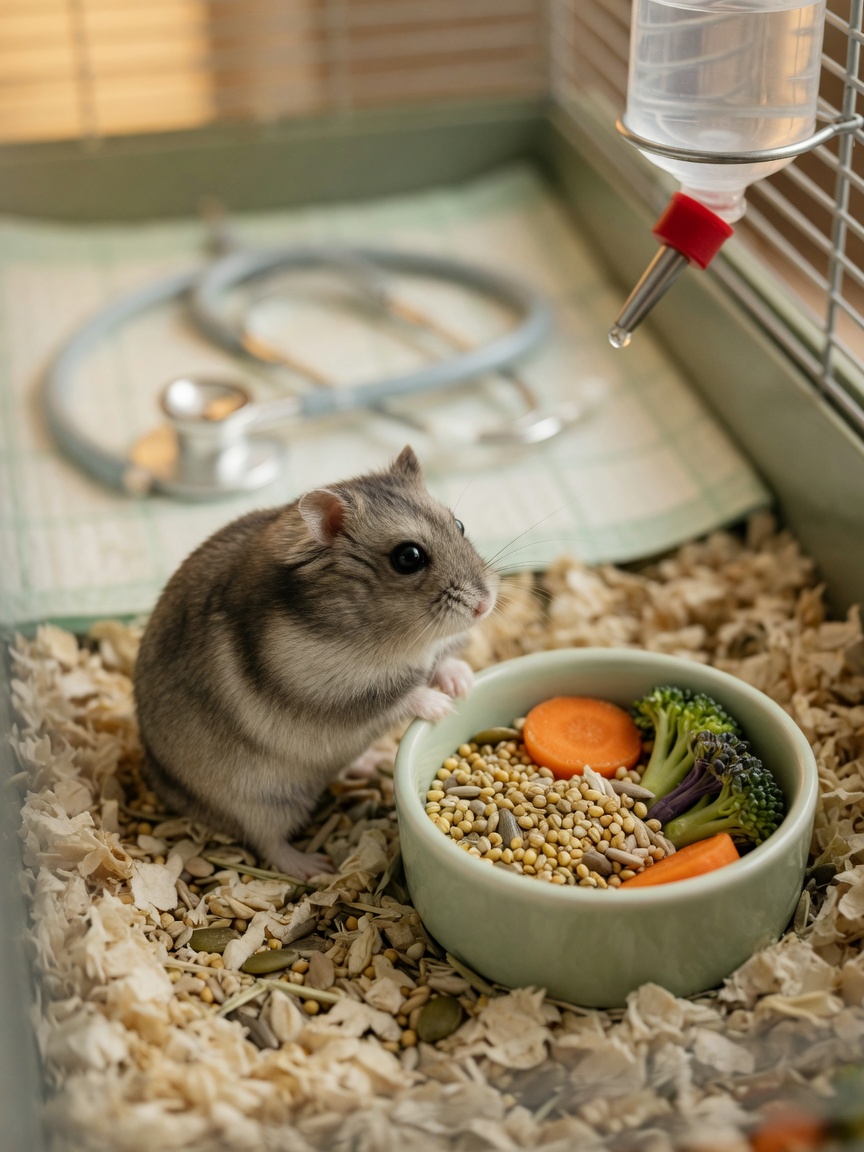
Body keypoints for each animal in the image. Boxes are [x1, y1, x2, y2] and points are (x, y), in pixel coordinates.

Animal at [133, 446, 498, 878]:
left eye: (458, 524)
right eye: (408, 557)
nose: (485, 605)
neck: (401, 639)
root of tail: (160, 781)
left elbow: (439, 663)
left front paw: (463, 681)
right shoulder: (327, 693)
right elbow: (394, 695)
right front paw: (442, 705)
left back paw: (372, 763)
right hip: (258, 801)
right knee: (268, 842)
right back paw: (315, 867)